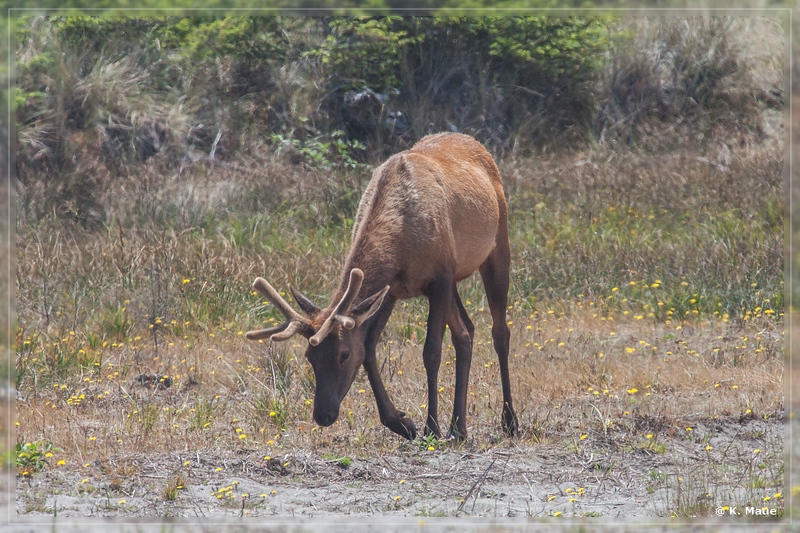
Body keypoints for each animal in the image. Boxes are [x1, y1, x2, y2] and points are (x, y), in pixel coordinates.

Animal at [248, 132, 520, 440]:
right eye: (309, 356)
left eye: (343, 354)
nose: (323, 415)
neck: (401, 242)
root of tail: (477, 144)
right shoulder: (392, 290)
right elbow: (369, 348)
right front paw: (400, 422)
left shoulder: (440, 278)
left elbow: (431, 352)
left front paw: (430, 426)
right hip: (454, 281)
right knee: (466, 332)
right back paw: (459, 427)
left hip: (497, 246)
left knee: (499, 332)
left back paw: (509, 420)